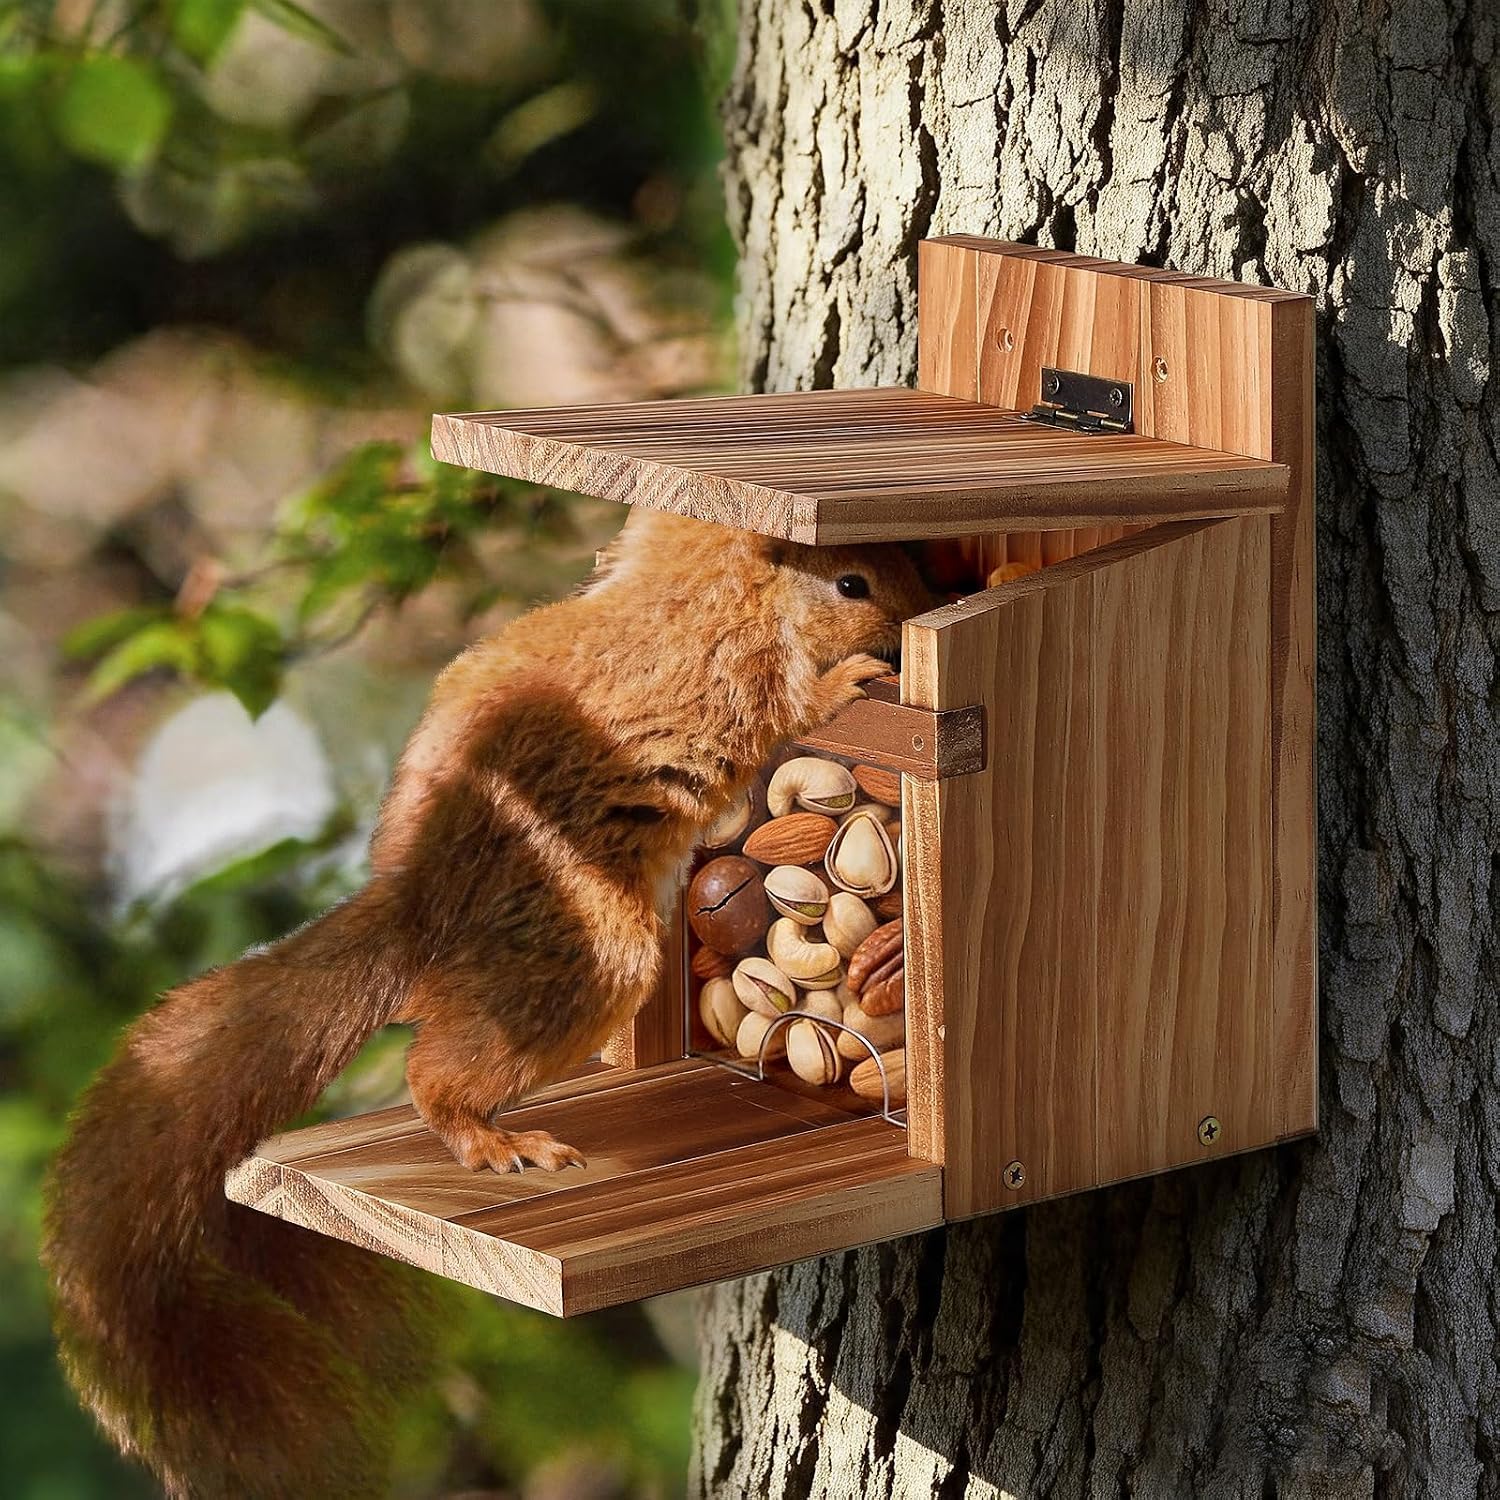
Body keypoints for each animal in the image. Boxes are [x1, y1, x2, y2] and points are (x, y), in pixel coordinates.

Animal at [42, 508, 933, 1499]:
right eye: (852, 585)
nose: (921, 613)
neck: (730, 592)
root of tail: (421, 907)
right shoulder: (734, 676)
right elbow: (793, 713)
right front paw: (848, 681)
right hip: (594, 948)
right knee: (436, 1066)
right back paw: (492, 1139)